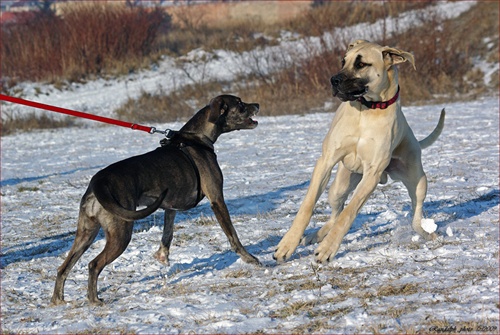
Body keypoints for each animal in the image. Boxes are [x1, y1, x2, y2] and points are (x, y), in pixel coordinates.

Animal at [51, 95, 262, 308]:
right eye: (240, 104)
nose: (257, 105)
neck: (197, 138)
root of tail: (98, 182)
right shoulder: (217, 199)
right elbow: (233, 236)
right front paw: (251, 259)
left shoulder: (171, 206)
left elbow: (167, 233)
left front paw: (162, 257)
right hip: (120, 234)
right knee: (93, 264)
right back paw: (94, 300)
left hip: (86, 233)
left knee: (63, 267)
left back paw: (57, 300)